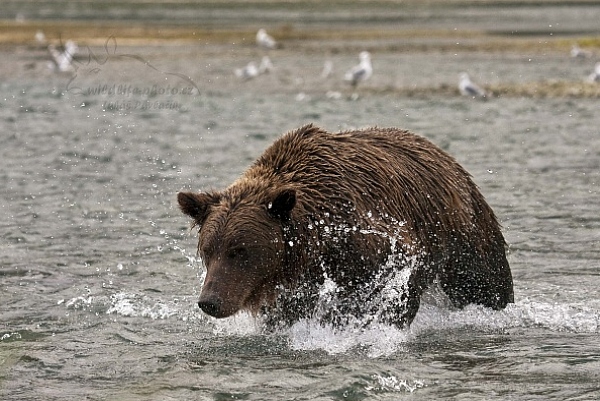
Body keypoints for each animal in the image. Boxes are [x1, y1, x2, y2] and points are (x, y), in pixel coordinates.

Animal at [178, 125, 516, 328]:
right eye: (208, 251)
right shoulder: (295, 280)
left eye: (240, 250)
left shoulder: (367, 235)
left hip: (464, 234)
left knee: (484, 283)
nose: (210, 301)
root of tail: (448, 158)